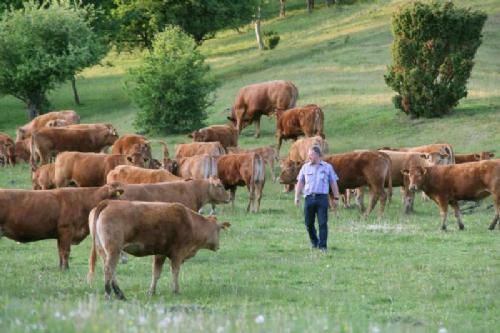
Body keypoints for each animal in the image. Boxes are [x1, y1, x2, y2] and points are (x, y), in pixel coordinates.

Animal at [87, 198, 230, 300]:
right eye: (218, 230)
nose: (218, 245)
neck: (190, 222)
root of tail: (108, 202)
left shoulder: (160, 253)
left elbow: (156, 273)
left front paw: (152, 291)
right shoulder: (177, 253)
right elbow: (175, 272)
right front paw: (176, 290)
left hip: (104, 250)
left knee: (111, 271)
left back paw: (120, 294)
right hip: (114, 250)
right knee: (108, 269)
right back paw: (108, 294)